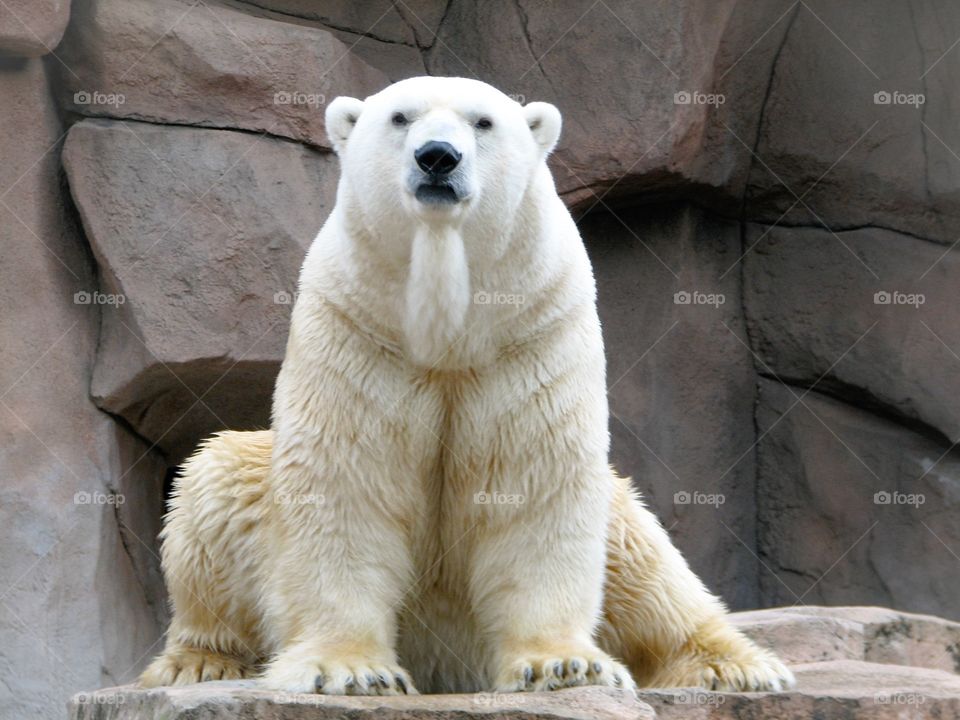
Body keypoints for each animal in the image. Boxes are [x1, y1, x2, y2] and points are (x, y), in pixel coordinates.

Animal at [140, 76, 795, 696]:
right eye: (400, 117)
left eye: (483, 122)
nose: (437, 157)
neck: (447, 329)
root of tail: (448, 664)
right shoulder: (358, 330)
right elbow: (346, 484)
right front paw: (349, 670)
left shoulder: (532, 331)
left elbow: (532, 483)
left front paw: (563, 664)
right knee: (215, 480)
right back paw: (199, 662)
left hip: (616, 522)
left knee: (646, 559)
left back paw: (733, 665)